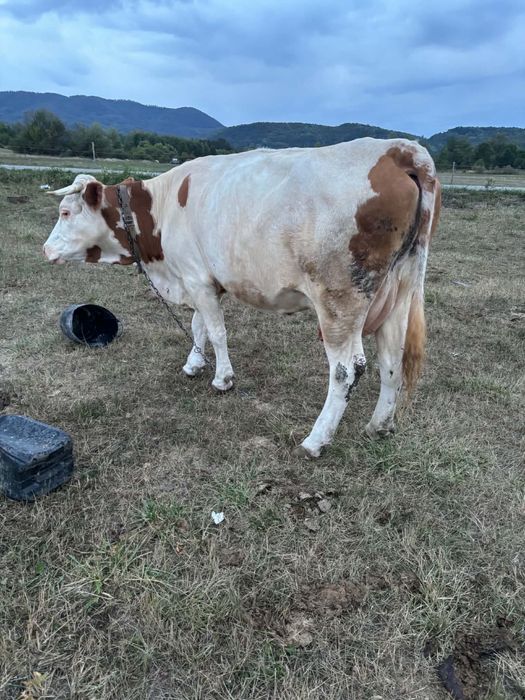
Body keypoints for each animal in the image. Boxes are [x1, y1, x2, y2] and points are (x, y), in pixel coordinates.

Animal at [44, 138, 441, 457]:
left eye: (65, 212)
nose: (46, 249)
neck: (161, 209)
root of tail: (398, 150)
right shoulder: (201, 278)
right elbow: (198, 326)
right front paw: (193, 363)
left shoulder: (197, 279)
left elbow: (217, 332)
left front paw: (222, 378)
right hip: (397, 290)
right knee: (391, 359)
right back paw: (379, 426)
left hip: (340, 298)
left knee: (347, 370)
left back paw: (316, 440)